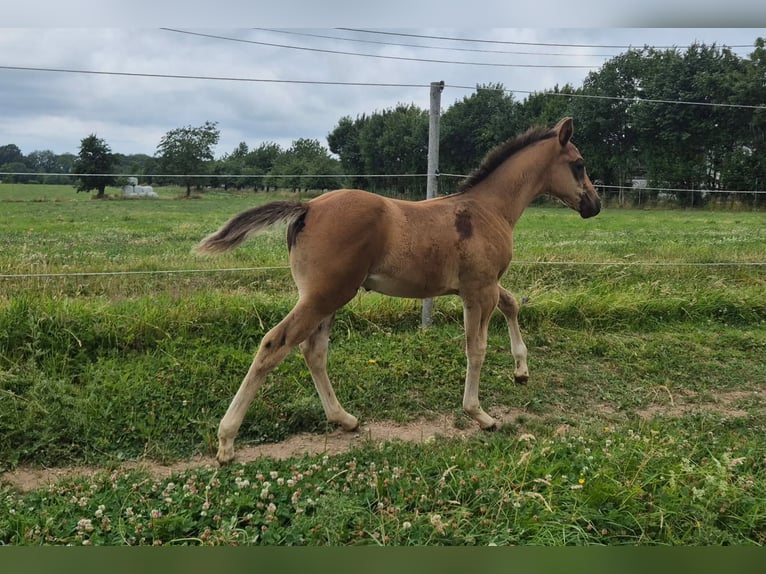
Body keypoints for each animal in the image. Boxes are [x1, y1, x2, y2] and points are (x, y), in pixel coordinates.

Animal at [197, 117, 601, 465]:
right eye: (579, 164)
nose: (595, 205)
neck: (489, 209)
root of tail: (307, 206)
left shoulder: (483, 285)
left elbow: (512, 304)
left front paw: (521, 371)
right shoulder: (478, 290)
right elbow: (477, 348)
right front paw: (480, 415)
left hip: (327, 297)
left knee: (314, 351)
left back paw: (344, 418)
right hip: (325, 295)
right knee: (274, 345)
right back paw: (227, 441)